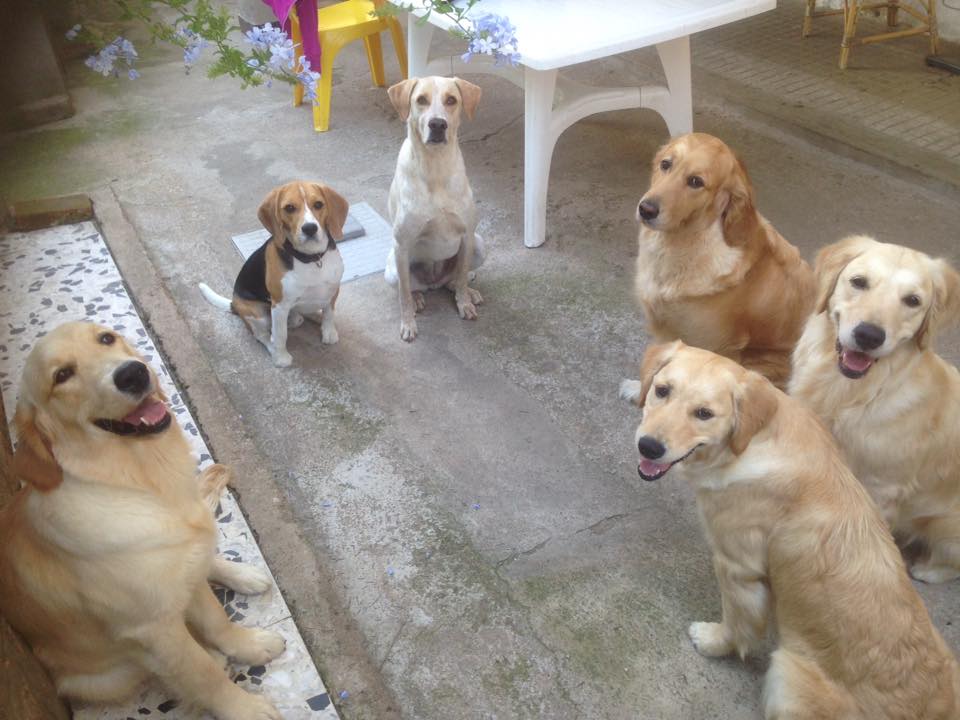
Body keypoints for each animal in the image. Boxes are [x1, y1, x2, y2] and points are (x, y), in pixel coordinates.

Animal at [0, 322, 284, 719]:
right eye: (62, 375)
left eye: (106, 338)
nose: (133, 373)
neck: (143, 483)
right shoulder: (153, 630)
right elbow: (201, 673)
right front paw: (244, 708)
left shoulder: (183, 576)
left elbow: (217, 621)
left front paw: (249, 645)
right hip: (103, 677)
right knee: (151, 668)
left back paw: (242, 574)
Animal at [200, 180, 348, 366]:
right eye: (289, 208)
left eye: (319, 204)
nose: (310, 228)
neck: (312, 259)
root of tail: (234, 303)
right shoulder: (279, 305)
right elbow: (280, 335)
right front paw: (281, 357)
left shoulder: (333, 290)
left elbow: (329, 313)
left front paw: (329, 332)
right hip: (258, 315)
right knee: (263, 335)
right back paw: (273, 348)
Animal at [385, 75, 486, 342]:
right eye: (421, 100)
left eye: (451, 100)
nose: (438, 124)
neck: (435, 168)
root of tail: (433, 283)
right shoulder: (402, 245)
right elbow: (403, 294)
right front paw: (408, 323)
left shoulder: (467, 235)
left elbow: (461, 277)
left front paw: (464, 303)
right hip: (392, 268)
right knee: (408, 288)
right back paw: (418, 298)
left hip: (480, 245)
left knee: (456, 280)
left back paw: (467, 291)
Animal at [621, 341, 960, 719]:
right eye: (662, 390)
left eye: (704, 414)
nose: (649, 446)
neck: (751, 442)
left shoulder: (737, 568)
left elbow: (738, 623)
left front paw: (713, 641)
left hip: (786, 673)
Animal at [789, 235, 960, 584]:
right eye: (859, 282)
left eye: (912, 301)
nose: (868, 335)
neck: (850, 393)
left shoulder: (881, 488)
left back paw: (927, 569)